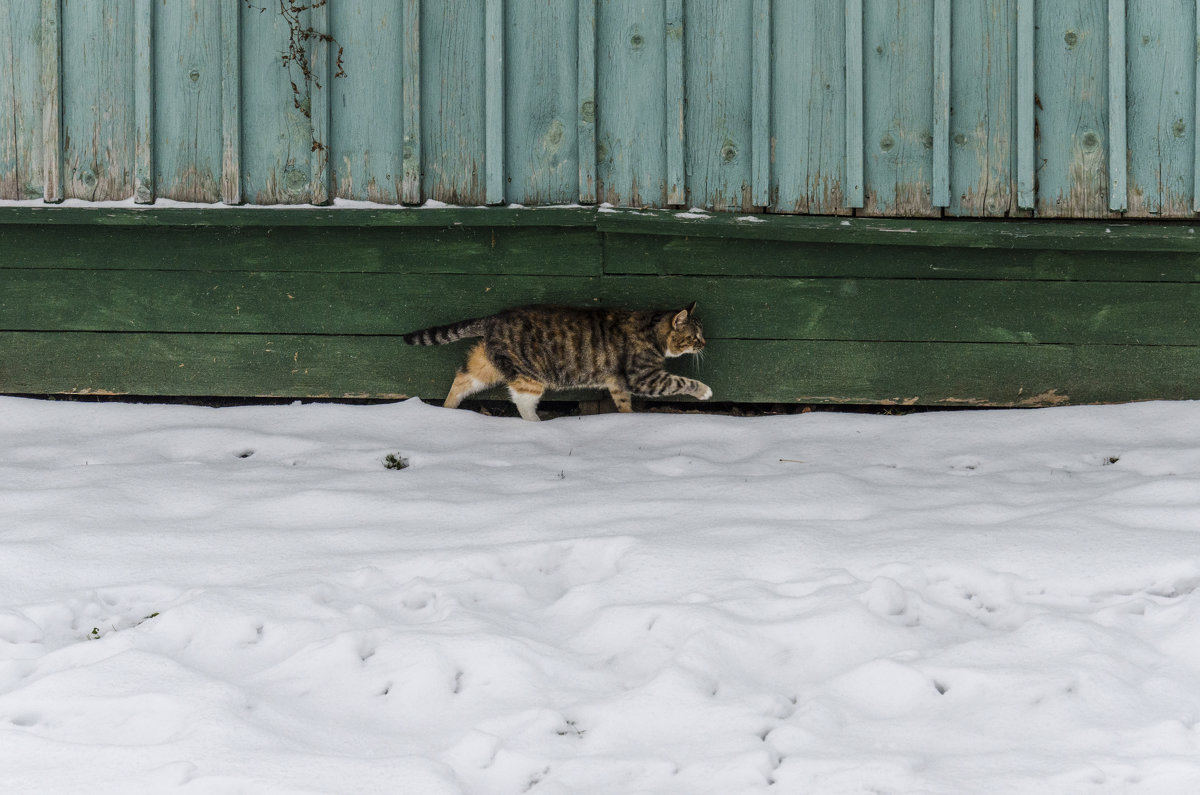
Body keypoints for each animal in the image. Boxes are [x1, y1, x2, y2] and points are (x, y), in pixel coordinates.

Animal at [403, 302, 705, 420]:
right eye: (694, 336)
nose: (704, 343)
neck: (652, 329)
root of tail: (494, 319)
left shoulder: (618, 382)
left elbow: (623, 404)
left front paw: (627, 418)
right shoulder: (644, 378)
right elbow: (680, 382)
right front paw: (703, 391)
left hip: (488, 365)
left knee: (463, 377)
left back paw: (447, 411)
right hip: (530, 376)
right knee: (522, 402)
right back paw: (539, 426)